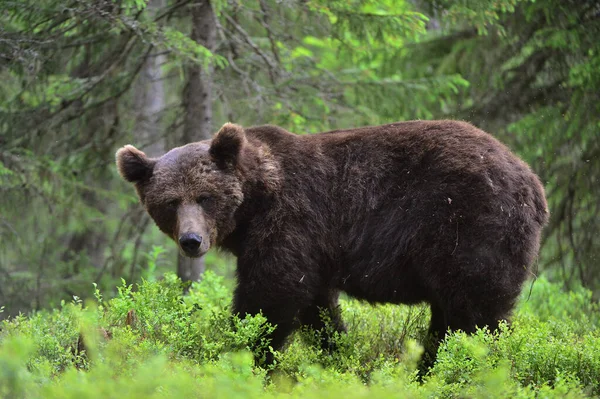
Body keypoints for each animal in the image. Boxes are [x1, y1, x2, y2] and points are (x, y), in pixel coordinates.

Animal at [116, 120, 548, 370]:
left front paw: (243, 353)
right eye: (170, 202)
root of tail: (532, 180)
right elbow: (316, 307)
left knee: (477, 312)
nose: (192, 241)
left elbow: (270, 295)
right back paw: (428, 371)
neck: (255, 202)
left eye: (205, 197)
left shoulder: (294, 220)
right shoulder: (313, 248)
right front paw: (340, 355)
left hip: (469, 223)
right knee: (451, 315)